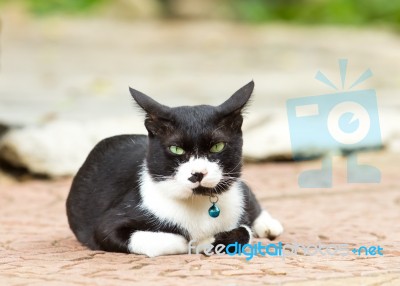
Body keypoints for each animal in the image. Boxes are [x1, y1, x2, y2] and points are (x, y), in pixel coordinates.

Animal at [66, 80, 284, 256]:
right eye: (176, 149)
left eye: (217, 146)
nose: (198, 173)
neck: (199, 204)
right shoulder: (107, 225)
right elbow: (176, 240)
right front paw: (199, 242)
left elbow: (244, 231)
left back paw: (269, 225)